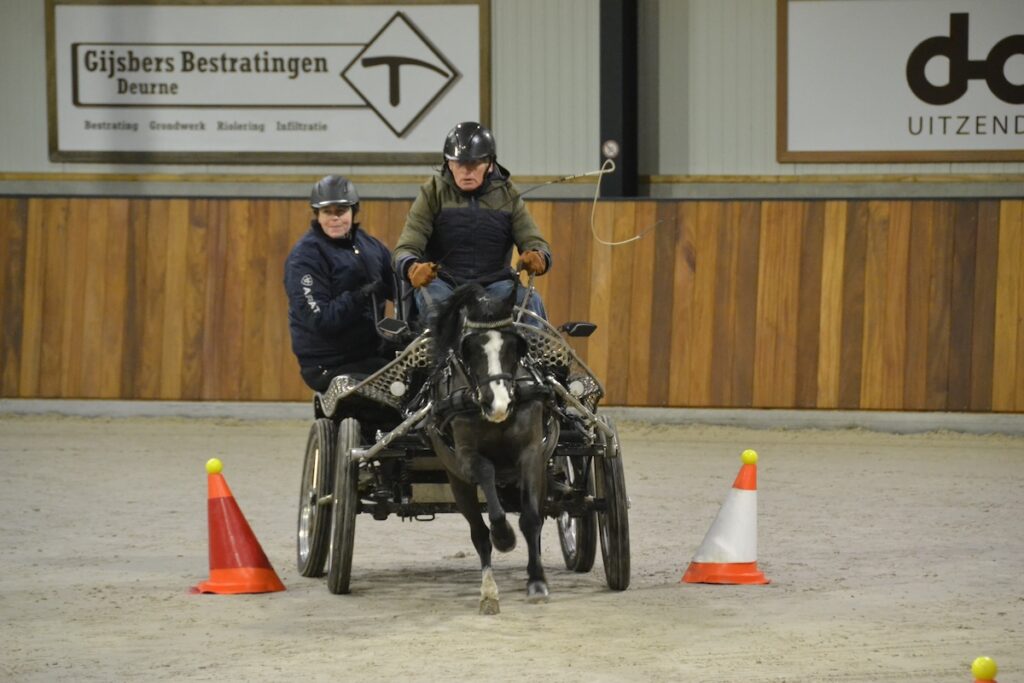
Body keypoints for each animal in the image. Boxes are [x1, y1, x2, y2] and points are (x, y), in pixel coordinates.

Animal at [425, 282, 556, 614]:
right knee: (478, 533)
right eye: (469, 349)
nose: (497, 403)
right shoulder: (465, 458)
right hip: (457, 483)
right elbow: (487, 479)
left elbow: (531, 519)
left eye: (513, 346)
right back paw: (488, 592)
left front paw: (537, 582)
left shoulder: (532, 454)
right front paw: (504, 536)